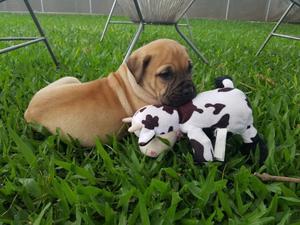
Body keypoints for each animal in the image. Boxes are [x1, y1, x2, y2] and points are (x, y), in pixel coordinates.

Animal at [24, 39, 196, 146]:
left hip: (70, 78)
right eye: (165, 74)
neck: (135, 83)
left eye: (190, 68)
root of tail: (28, 111)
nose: (189, 90)